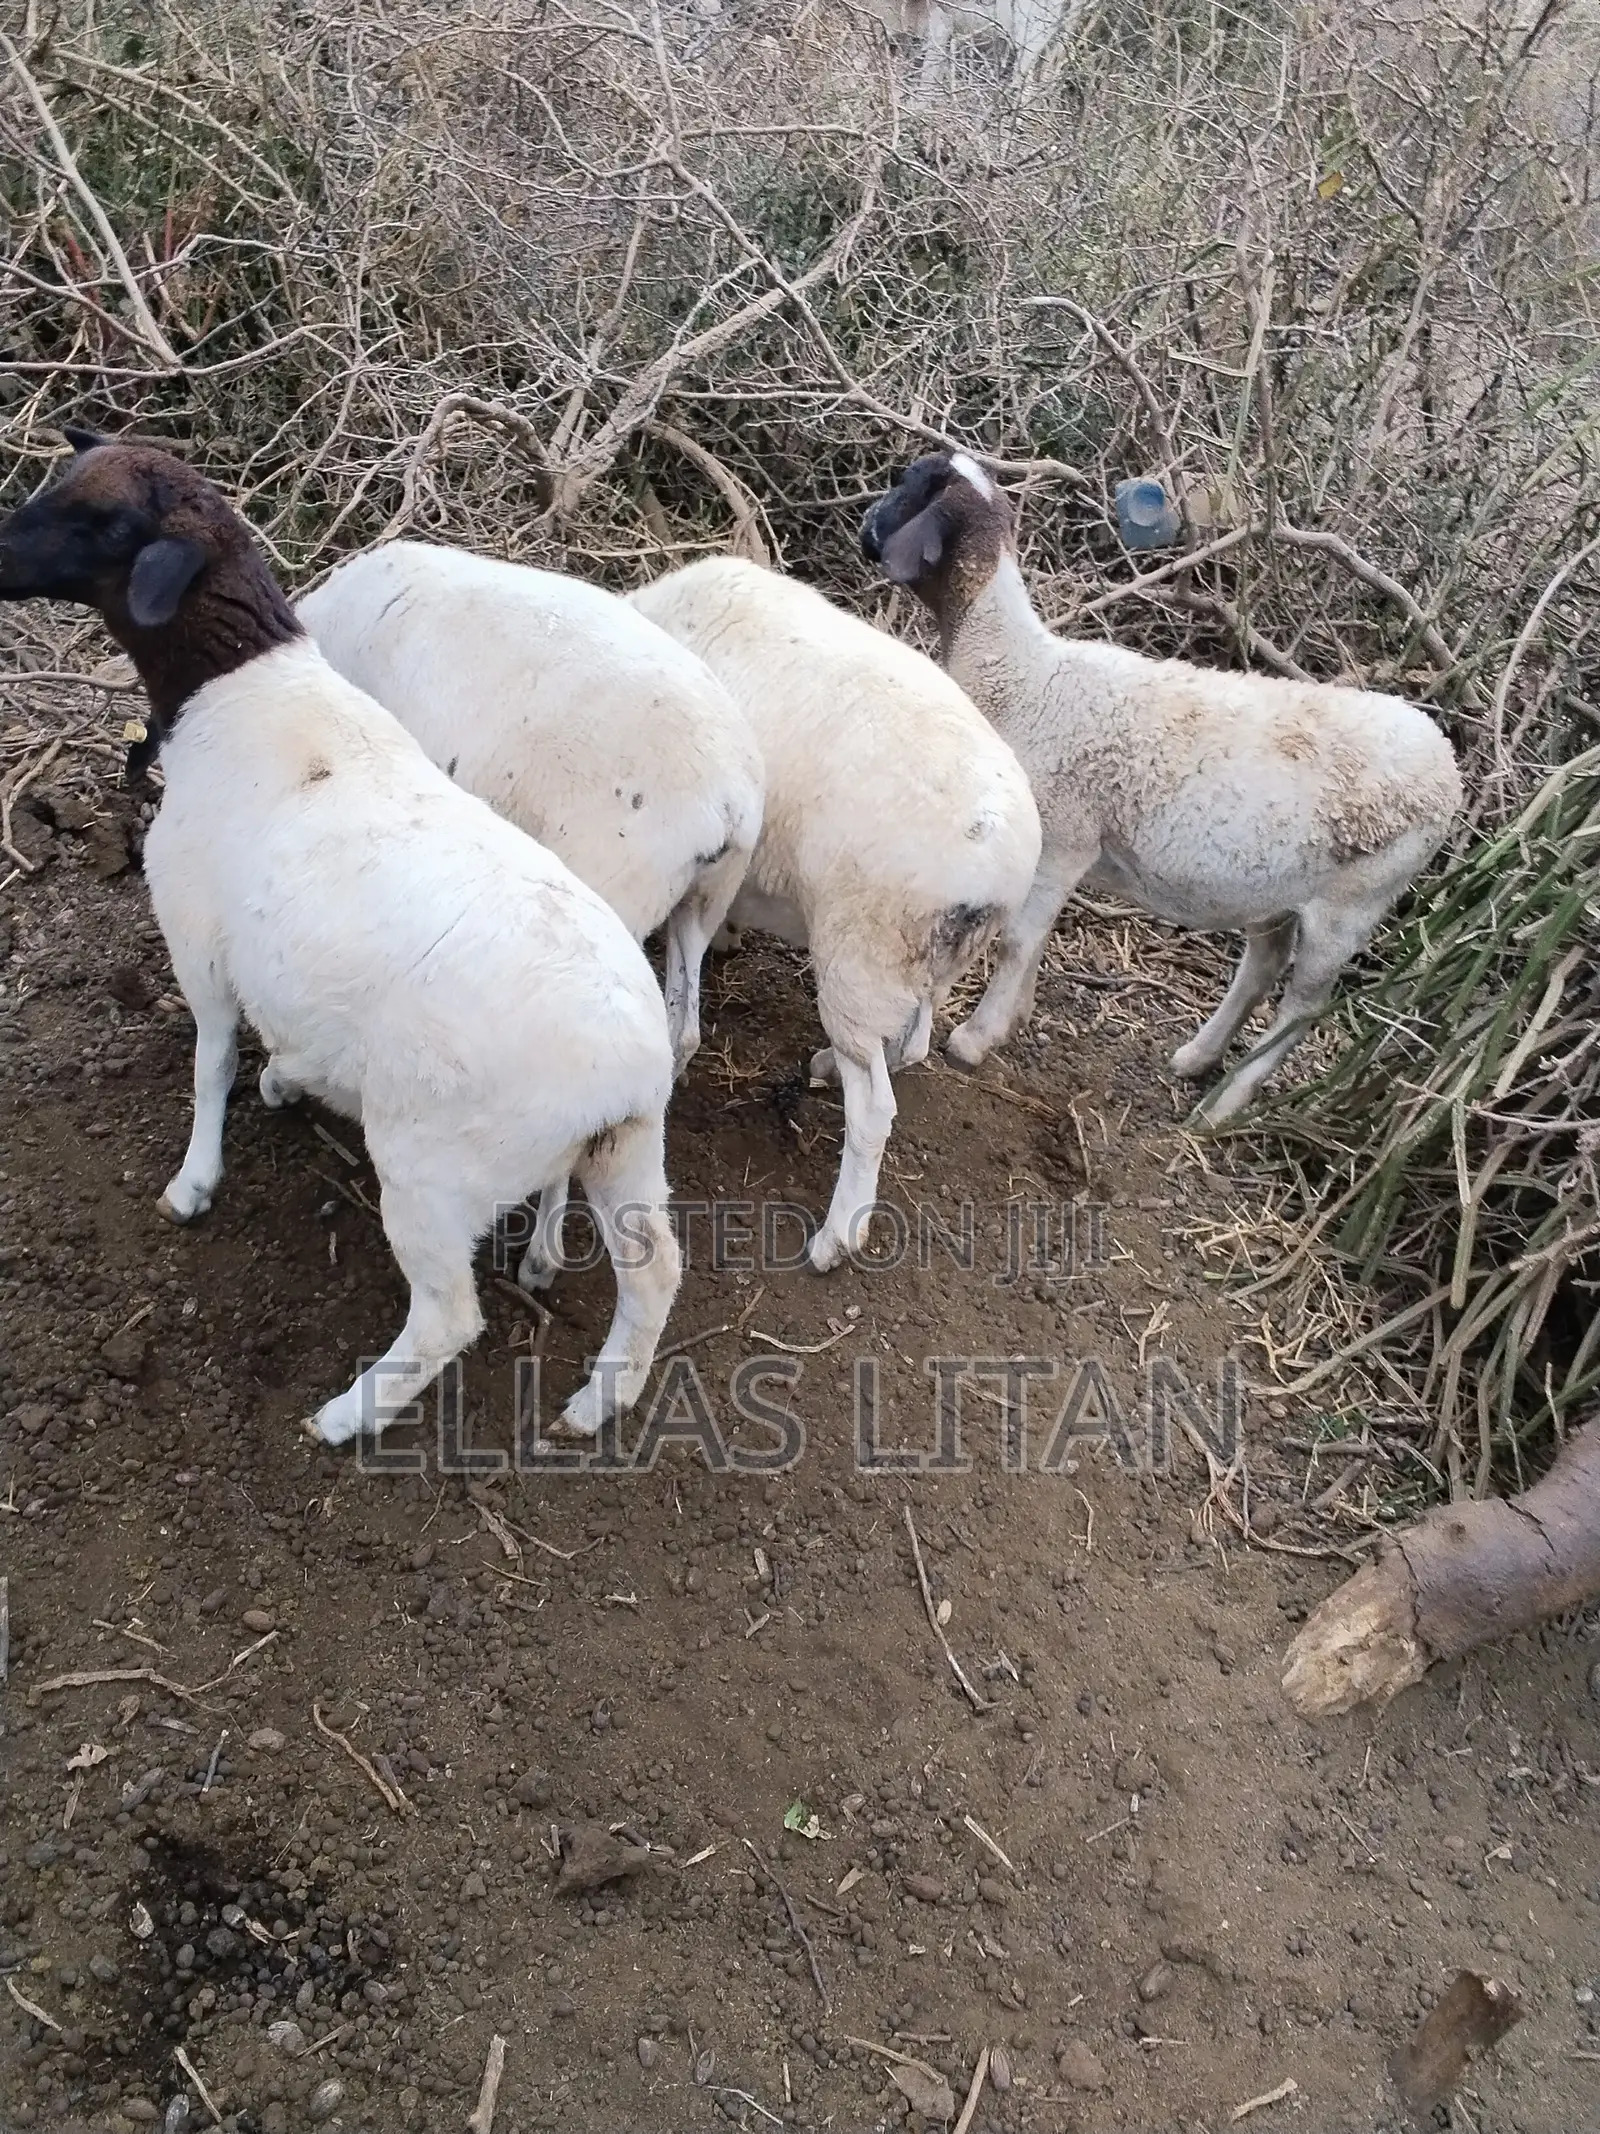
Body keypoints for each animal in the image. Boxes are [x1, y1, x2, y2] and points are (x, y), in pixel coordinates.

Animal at [0, 430, 681, 1445]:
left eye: (102, 523)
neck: (239, 695)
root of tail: (629, 1067)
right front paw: (288, 1080)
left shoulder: (197, 935)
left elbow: (210, 1061)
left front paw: (195, 1182)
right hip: (625, 1151)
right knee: (654, 1273)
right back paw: (597, 1404)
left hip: (434, 1171)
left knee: (447, 1319)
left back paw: (349, 1414)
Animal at [628, 556, 1041, 1271]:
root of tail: (1001, 852)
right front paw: (729, 934)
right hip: (921, 961)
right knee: (911, 1042)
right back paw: (826, 1064)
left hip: (860, 949)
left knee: (875, 1105)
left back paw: (838, 1234)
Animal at [860, 452, 1463, 1119]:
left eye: (910, 488)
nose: (865, 530)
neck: (1021, 676)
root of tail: (1446, 762)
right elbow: (1034, 942)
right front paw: (1013, 1018)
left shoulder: (1063, 838)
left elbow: (1018, 940)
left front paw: (975, 1038)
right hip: (1278, 892)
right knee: (1261, 967)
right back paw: (1197, 1058)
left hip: (1352, 904)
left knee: (1302, 1008)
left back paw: (1222, 1107)